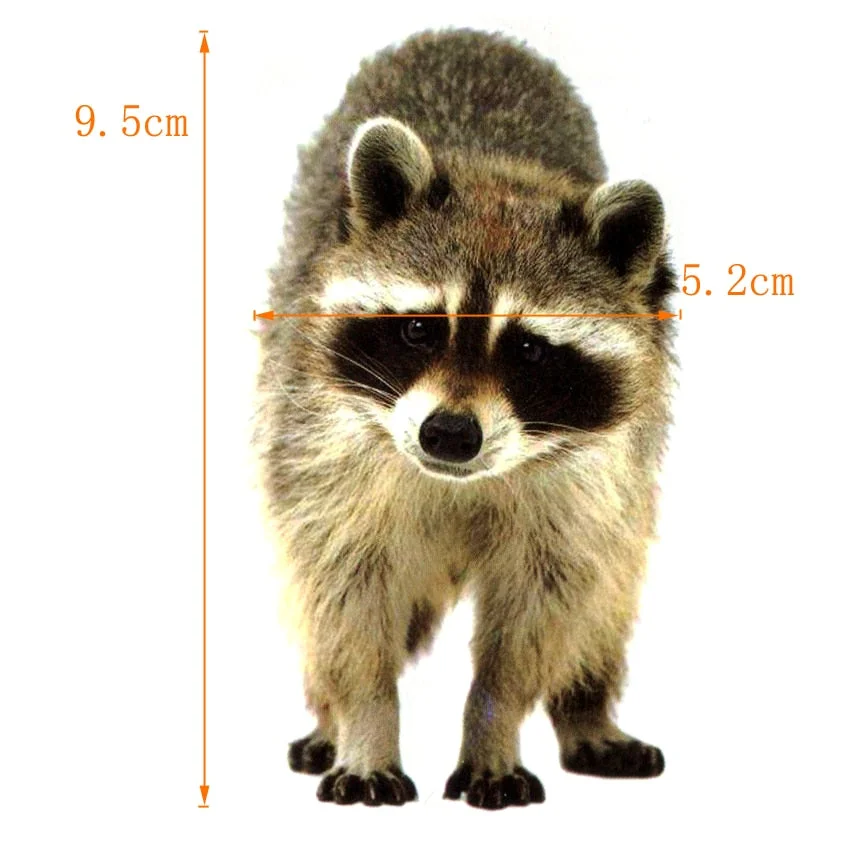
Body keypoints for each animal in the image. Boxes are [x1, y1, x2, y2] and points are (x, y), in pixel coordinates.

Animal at [255, 28, 676, 808]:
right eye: (422, 330)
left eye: (529, 349)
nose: (448, 435)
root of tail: (470, 33)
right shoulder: (323, 450)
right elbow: (344, 594)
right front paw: (365, 720)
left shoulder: (588, 482)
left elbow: (545, 606)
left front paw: (494, 724)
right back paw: (327, 716)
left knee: (608, 590)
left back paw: (589, 710)